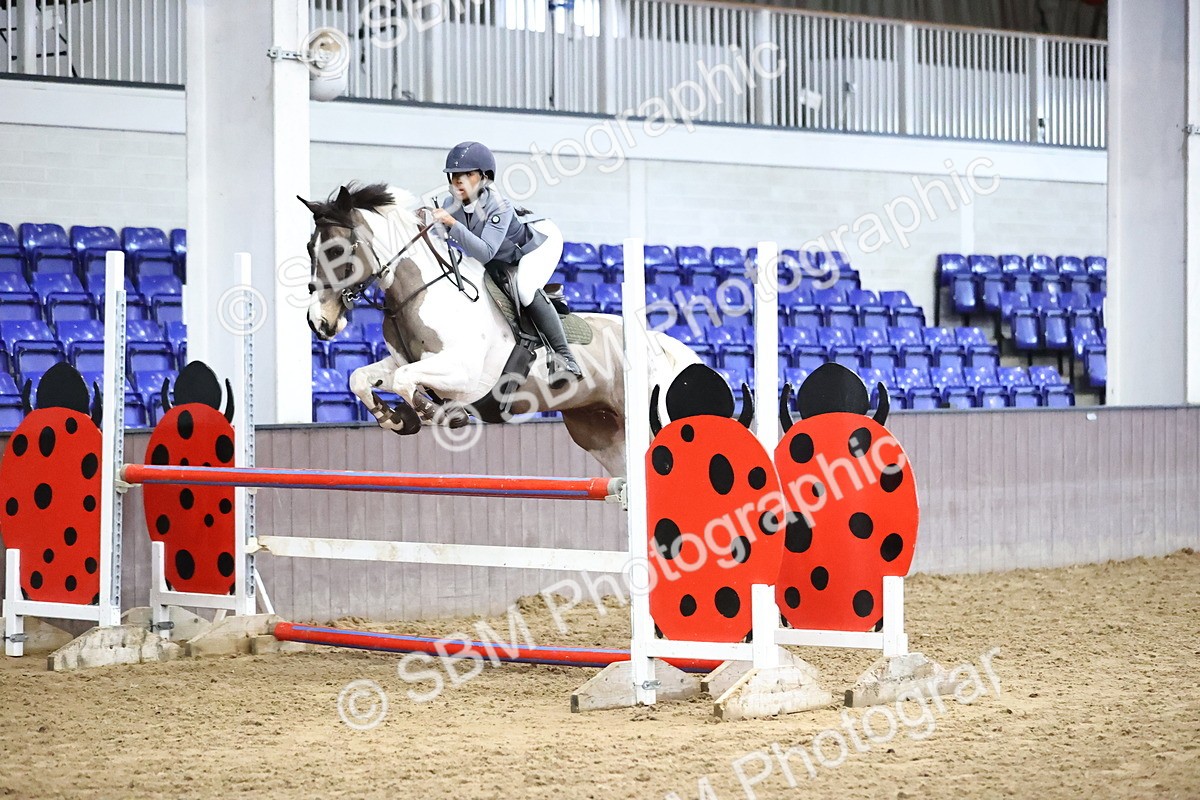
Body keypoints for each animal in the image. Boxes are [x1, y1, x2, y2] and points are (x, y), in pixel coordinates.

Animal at [299, 182, 701, 478]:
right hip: (600, 432)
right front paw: (395, 419)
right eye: (309, 248)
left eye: (336, 251)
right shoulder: (404, 361)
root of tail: (658, 344)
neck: (423, 289)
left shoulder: (463, 374)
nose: (318, 321)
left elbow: (404, 381)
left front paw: (440, 415)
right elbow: (362, 378)